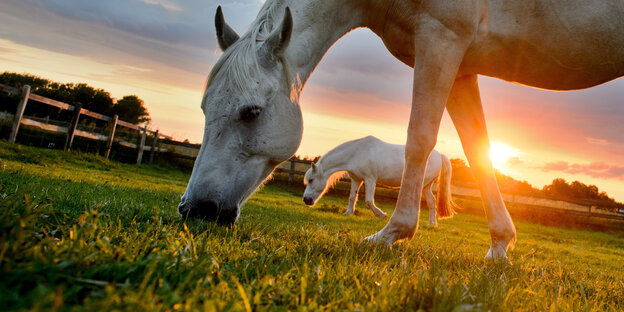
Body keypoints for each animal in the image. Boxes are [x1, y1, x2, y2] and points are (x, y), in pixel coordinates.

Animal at [302, 135, 458, 225]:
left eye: (311, 180)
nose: (306, 200)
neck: (357, 152)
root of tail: (439, 155)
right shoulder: (356, 179)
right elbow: (352, 197)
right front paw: (348, 213)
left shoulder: (370, 179)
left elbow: (369, 201)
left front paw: (381, 214)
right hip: (426, 186)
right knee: (432, 202)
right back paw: (432, 223)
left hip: (422, 185)